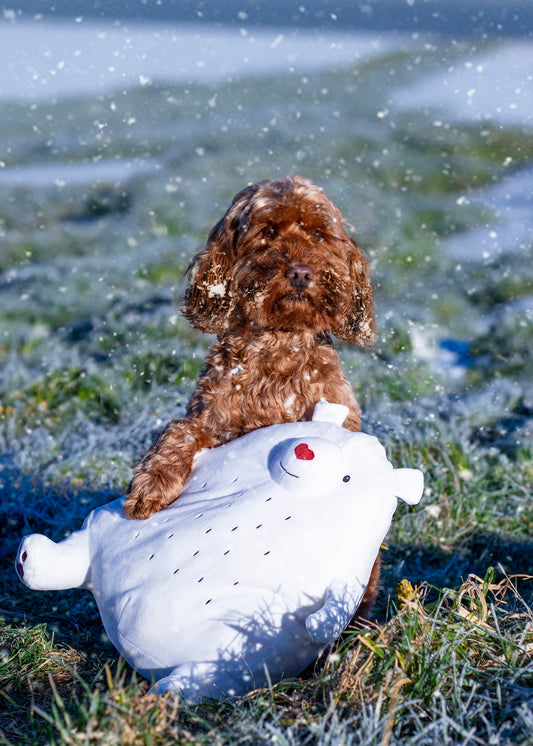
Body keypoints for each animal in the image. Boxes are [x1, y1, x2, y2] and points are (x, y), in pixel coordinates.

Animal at [123, 174, 378, 612]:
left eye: (318, 233)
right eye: (268, 231)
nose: (300, 272)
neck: (280, 348)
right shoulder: (212, 418)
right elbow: (179, 430)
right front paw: (151, 484)